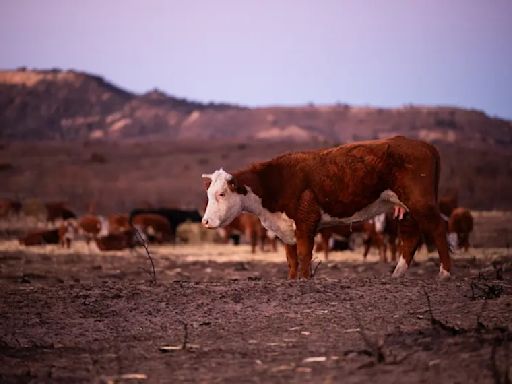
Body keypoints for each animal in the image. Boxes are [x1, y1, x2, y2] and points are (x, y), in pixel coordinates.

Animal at [202, 136, 450, 280]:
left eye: (222, 193)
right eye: (208, 194)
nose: (205, 221)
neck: (276, 180)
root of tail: (425, 145)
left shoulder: (305, 222)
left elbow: (304, 255)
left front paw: (305, 280)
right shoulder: (286, 229)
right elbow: (291, 258)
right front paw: (293, 281)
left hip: (420, 202)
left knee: (438, 228)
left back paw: (444, 273)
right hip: (406, 208)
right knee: (410, 237)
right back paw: (397, 274)